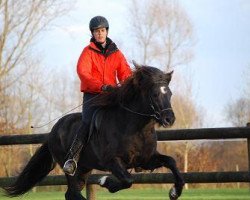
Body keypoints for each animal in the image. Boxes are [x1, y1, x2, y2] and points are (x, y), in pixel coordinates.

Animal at [2, 61, 185, 199]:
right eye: (154, 94)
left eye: (169, 94)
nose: (169, 119)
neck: (136, 129)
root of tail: (54, 129)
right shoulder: (112, 161)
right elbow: (127, 180)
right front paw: (106, 182)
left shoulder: (146, 160)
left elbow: (171, 162)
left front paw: (175, 192)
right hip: (72, 169)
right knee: (73, 193)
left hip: (84, 169)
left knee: (71, 194)